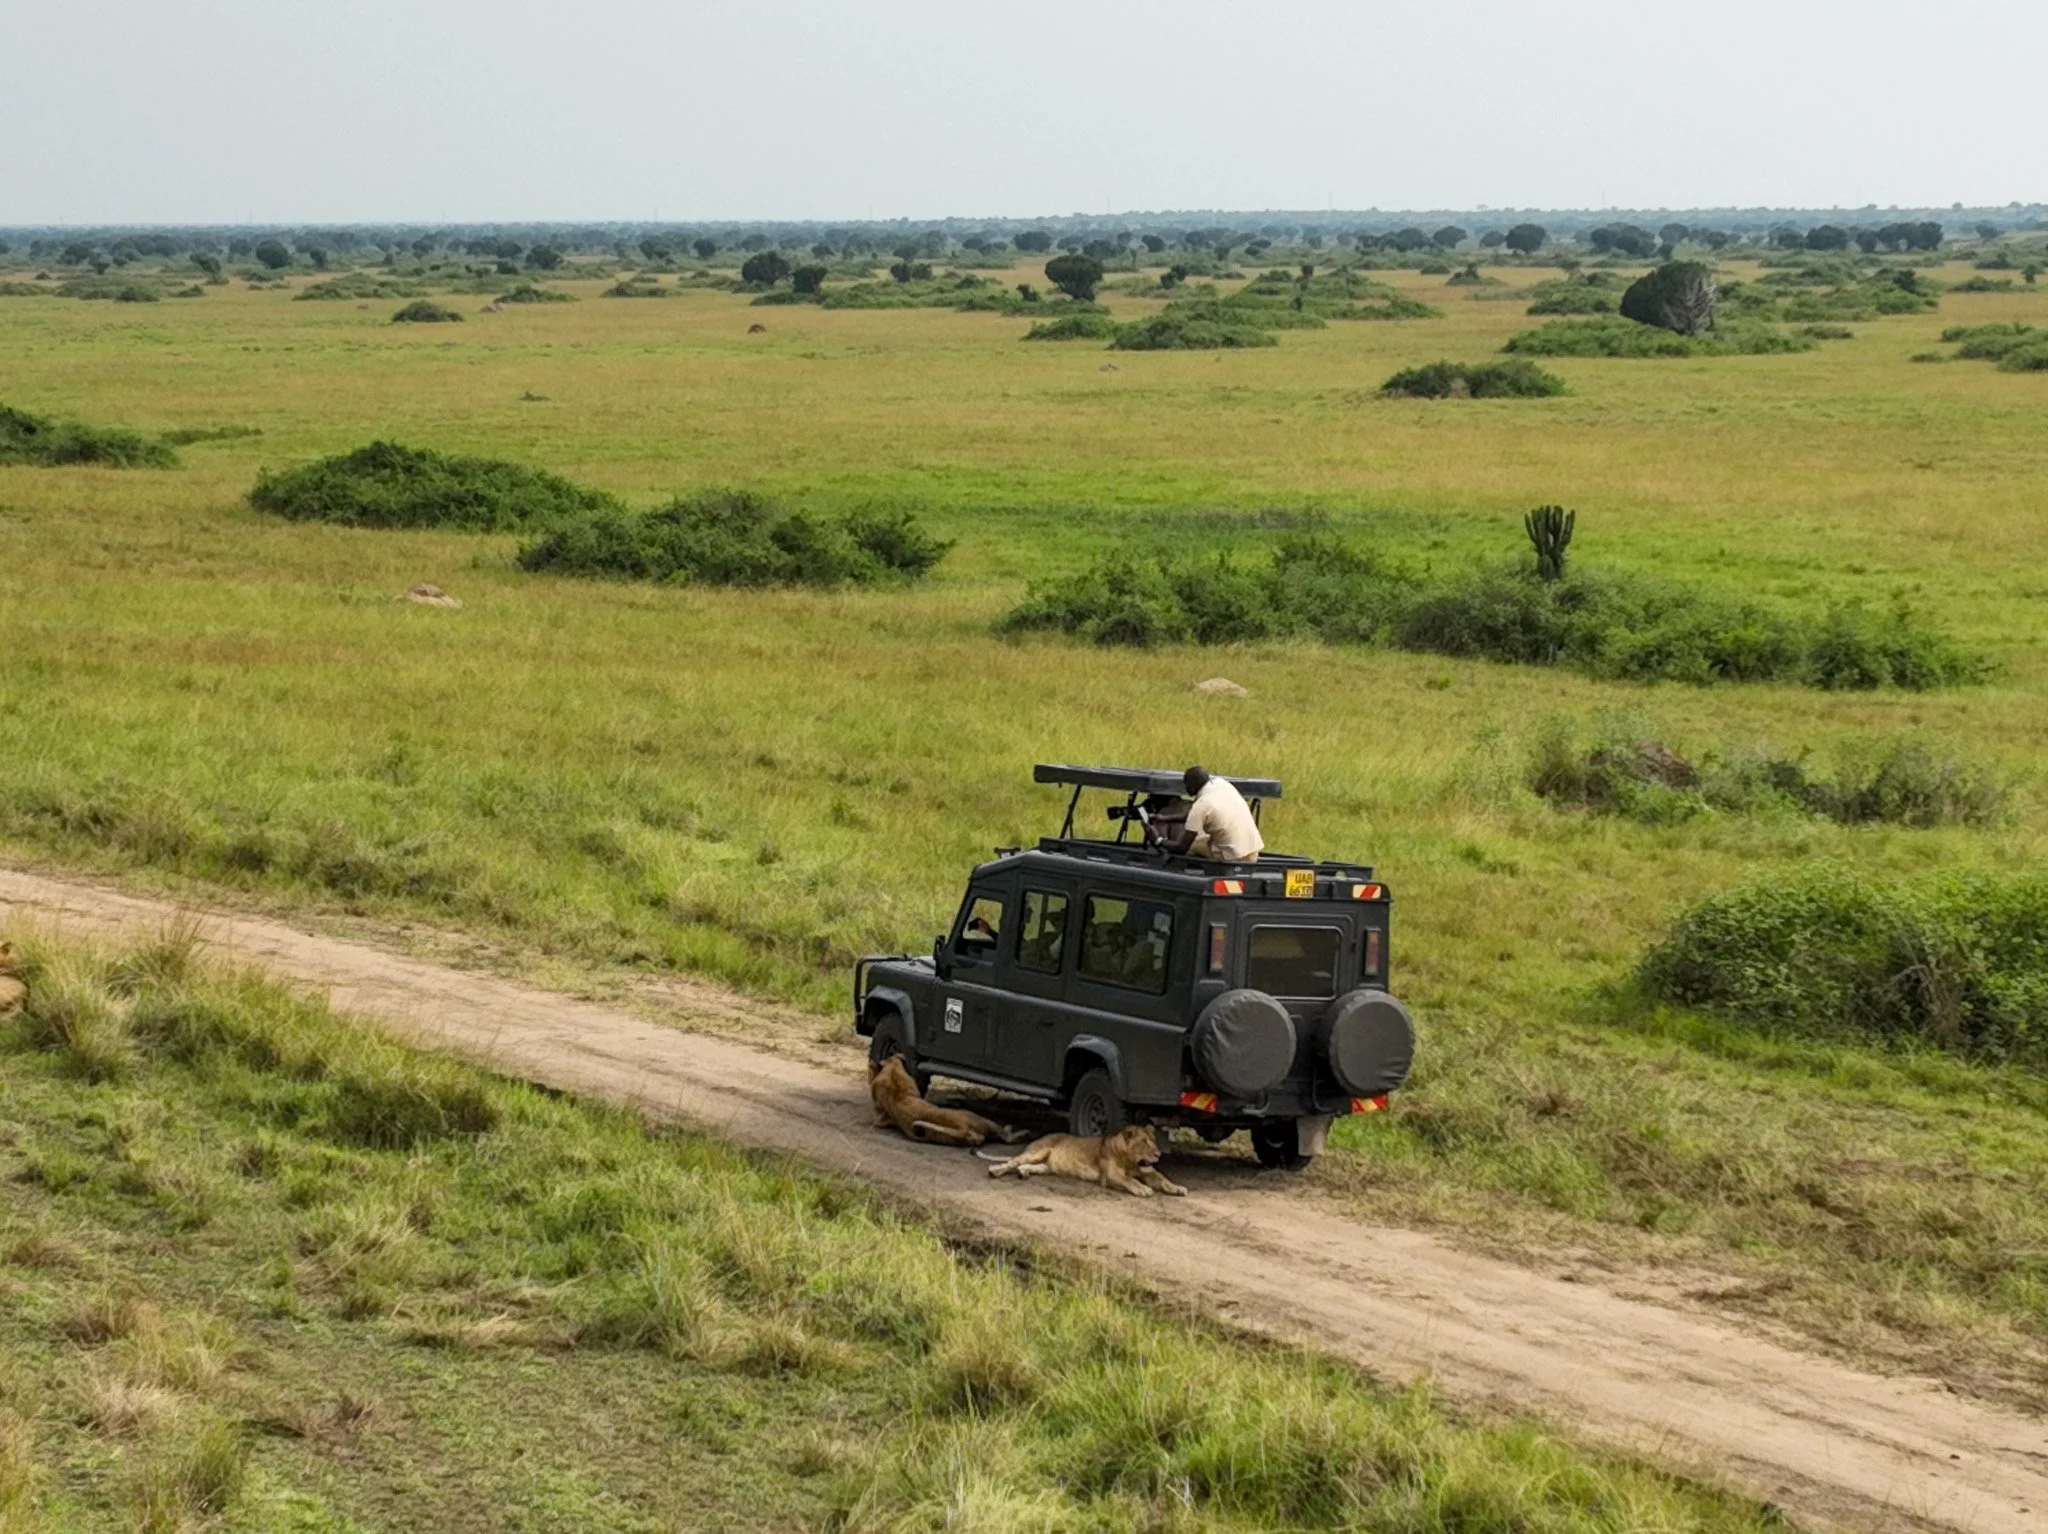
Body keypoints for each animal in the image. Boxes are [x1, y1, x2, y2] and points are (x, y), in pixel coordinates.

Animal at [985, 1124, 1187, 1198]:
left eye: (1153, 1141)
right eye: (1144, 1142)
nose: (1158, 1154)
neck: (1130, 1162)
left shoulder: (1149, 1172)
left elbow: (1162, 1179)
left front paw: (1177, 1188)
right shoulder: (1110, 1176)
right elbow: (1129, 1179)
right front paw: (1143, 1188)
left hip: (1047, 1166)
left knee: (1029, 1166)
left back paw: (1024, 1172)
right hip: (1037, 1151)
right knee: (1013, 1161)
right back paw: (995, 1170)